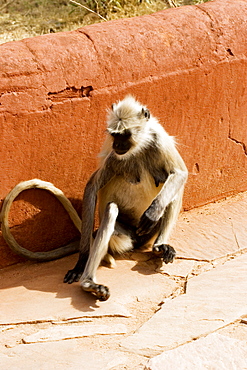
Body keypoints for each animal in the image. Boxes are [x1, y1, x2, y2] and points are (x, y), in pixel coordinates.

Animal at [63, 95, 187, 300]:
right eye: (115, 135)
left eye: (125, 135)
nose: (118, 145)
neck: (139, 147)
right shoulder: (114, 157)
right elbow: (91, 187)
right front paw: (81, 261)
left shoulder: (159, 140)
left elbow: (180, 173)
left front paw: (153, 213)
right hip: (123, 235)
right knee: (111, 209)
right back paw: (89, 284)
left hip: (146, 235)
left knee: (174, 185)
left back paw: (159, 246)